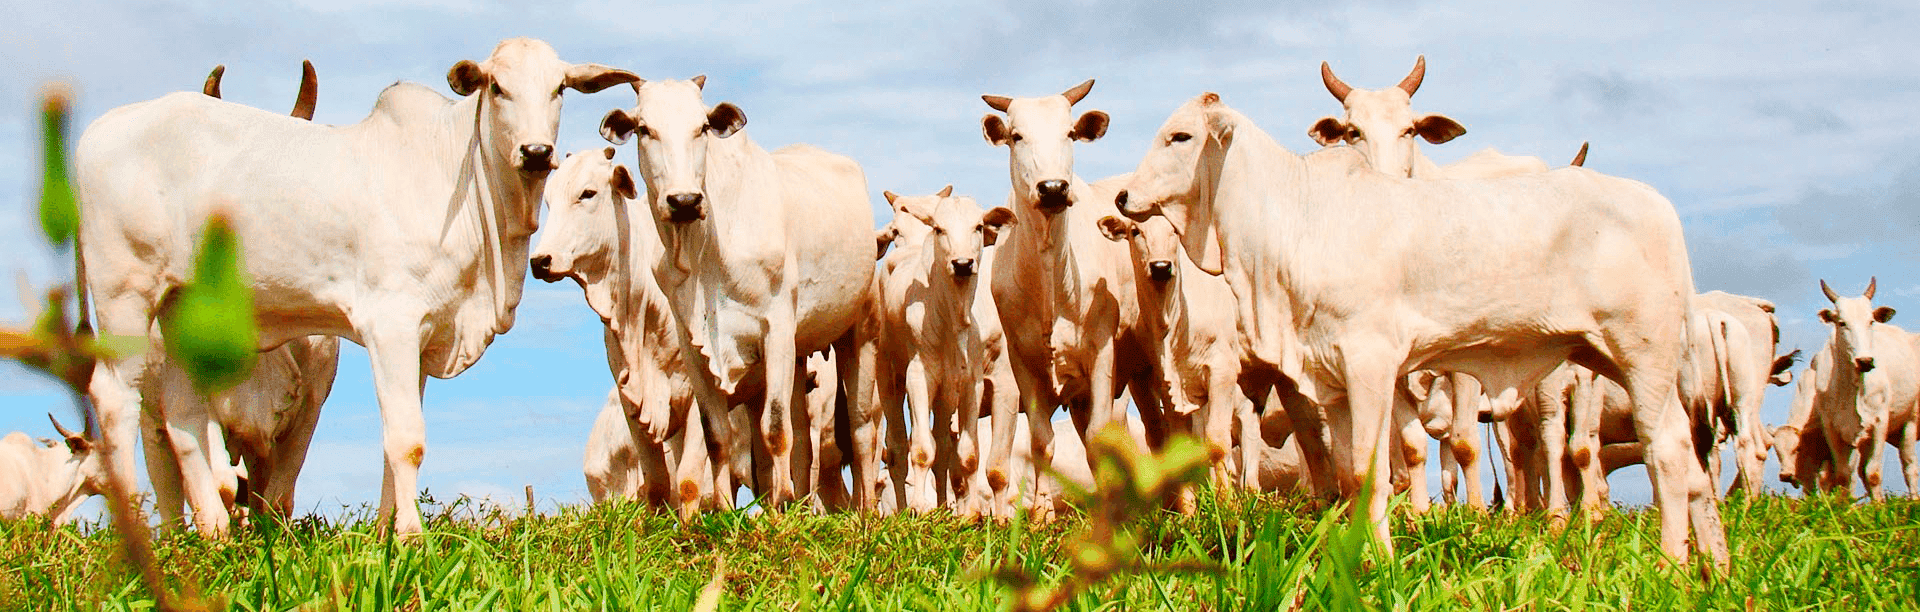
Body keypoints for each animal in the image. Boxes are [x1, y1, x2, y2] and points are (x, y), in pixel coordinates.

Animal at [76, 39, 645, 537]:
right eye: (498, 86)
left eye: (559, 88)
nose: (536, 151)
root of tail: (99, 130)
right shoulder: (391, 324)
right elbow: (407, 440)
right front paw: (412, 536)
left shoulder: (423, 337)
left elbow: (393, 444)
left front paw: (387, 532)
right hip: (124, 297)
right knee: (115, 399)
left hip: (180, 308)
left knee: (183, 414)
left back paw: (215, 536)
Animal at [599, 76, 879, 510]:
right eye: (645, 129)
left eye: (701, 128)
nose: (684, 201)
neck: (705, 251)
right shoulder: (695, 347)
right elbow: (717, 437)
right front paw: (726, 512)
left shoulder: (776, 329)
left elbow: (775, 428)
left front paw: (779, 509)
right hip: (799, 352)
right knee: (804, 438)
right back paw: (800, 504)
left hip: (858, 331)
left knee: (862, 429)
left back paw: (863, 512)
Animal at [1113, 92, 1728, 567]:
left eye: (1180, 136)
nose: (1122, 196)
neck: (1297, 220)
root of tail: (1656, 203)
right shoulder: (1329, 379)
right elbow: (1350, 473)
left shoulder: (1370, 361)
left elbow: (1372, 469)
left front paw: (1378, 560)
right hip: (1615, 357)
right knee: (1690, 459)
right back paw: (1714, 565)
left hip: (1642, 354)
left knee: (1666, 450)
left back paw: (1672, 563)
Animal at [1804, 280, 1912, 502]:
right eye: (1842, 323)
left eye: (1871, 321)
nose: (1865, 361)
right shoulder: (1832, 427)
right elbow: (1844, 474)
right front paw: (1846, 506)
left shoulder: (1880, 422)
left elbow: (1873, 473)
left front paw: (1879, 506)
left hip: (1911, 420)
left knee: (1910, 467)